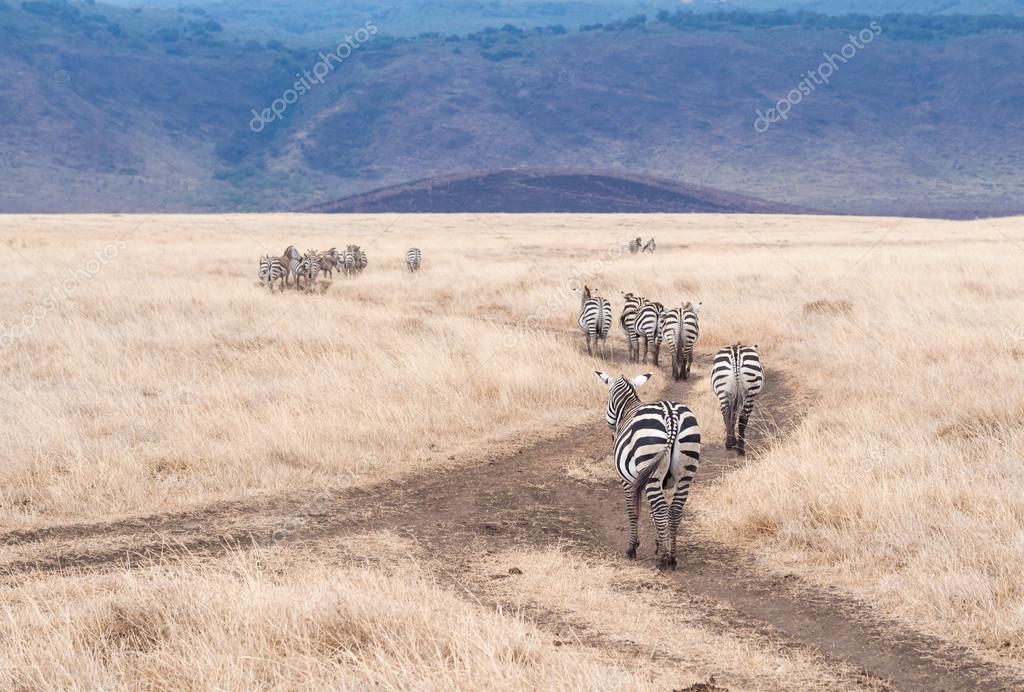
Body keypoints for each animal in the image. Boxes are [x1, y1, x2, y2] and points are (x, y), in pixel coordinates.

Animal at [598, 370, 700, 569]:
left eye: (607, 399)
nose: (611, 430)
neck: (627, 409)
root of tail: (671, 414)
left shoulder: (628, 481)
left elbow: (633, 511)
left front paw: (632, 548)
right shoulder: (650, 482)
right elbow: (653, 514)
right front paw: (660, 545)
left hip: (651, 465)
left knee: (661, 510)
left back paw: (662, 561)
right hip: (685, 471)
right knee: (674, 511)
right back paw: (672, 558)